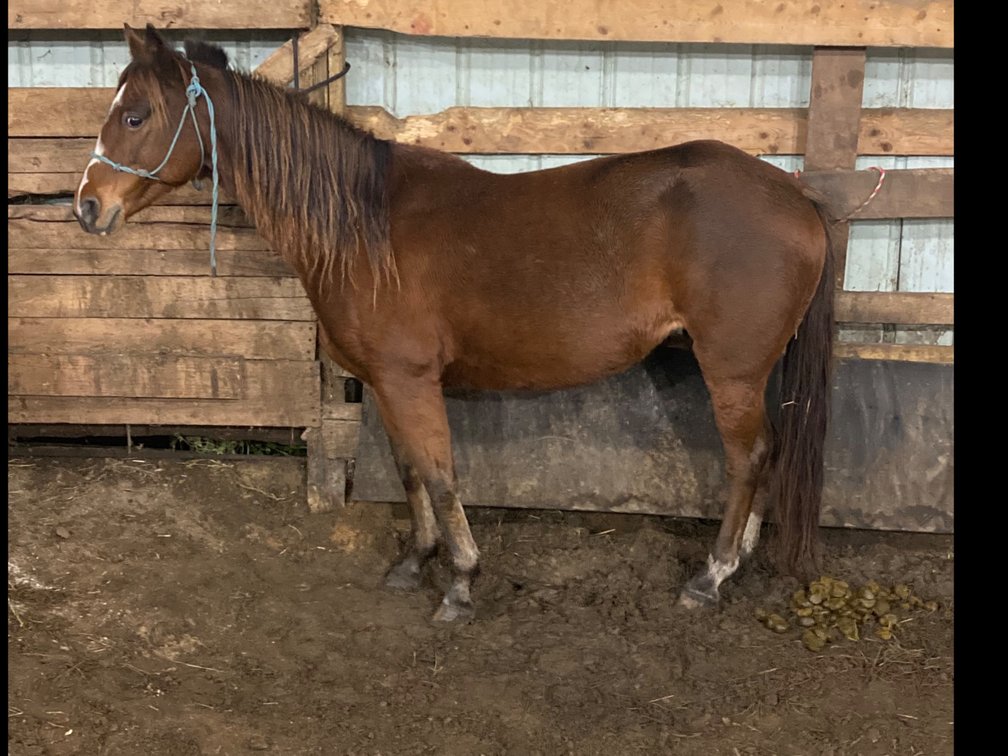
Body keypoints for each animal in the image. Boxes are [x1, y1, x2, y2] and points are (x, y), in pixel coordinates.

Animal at [74, 24, 837, 623]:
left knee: (748, 458)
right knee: (766, 456)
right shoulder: (383, 383)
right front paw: (415, 562)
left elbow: (441, 477)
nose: (86, 206)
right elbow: (410, 472)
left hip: (731, 371)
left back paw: (711, 575)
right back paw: (737, 560)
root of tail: (795, 197)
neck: (363, 226)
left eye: (135, 116)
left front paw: (462, 582)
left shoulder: (411, 381)